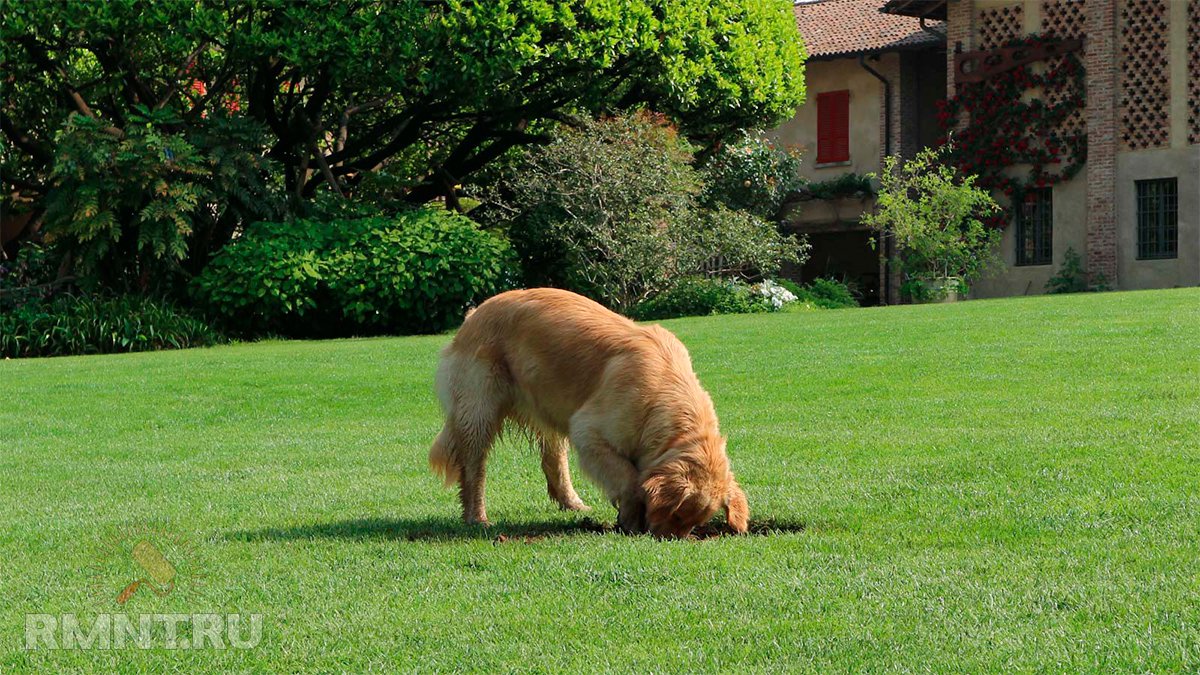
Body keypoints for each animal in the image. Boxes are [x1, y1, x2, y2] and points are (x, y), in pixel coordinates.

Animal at [432, 288, 748, 535]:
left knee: (554, 462)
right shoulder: (588, 431)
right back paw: (477, 517)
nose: (667, 538)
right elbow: (629, 478)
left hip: (550, 406)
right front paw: (629, 519)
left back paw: (572, 503)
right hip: (478, 412)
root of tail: (474, 313)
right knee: (474, 470)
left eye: (696, 523)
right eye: (677, 513)